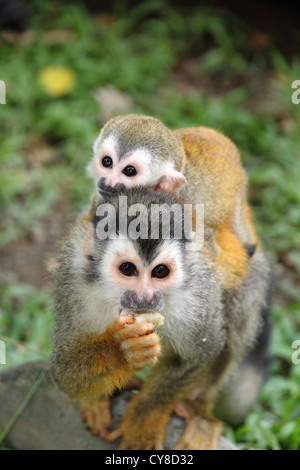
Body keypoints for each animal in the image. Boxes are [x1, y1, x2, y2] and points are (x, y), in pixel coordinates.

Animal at [49, 185, 272, 450]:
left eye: (160, 271)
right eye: (127, 269)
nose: (144, 297)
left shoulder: (198, 294)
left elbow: (200, 352)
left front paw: (145, 417)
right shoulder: (75, 281)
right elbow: (64, 373)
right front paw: (120, 351)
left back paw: (198, 410)